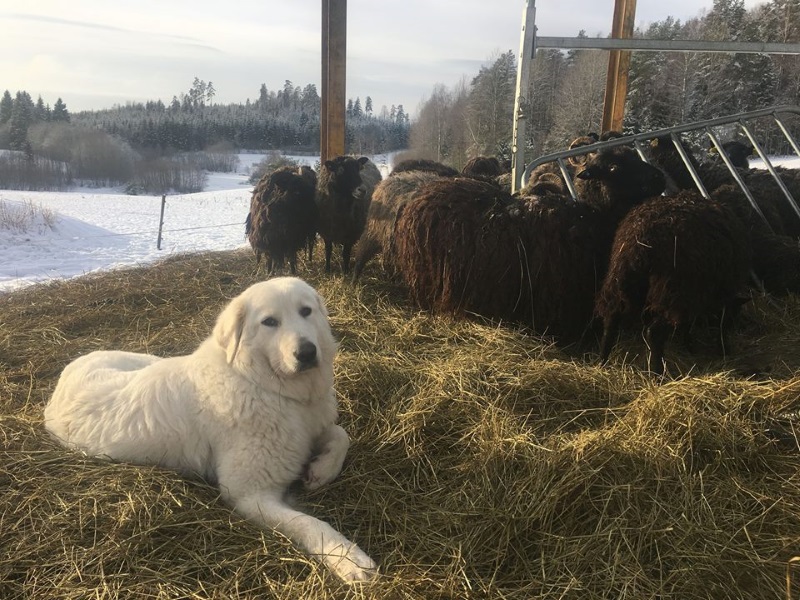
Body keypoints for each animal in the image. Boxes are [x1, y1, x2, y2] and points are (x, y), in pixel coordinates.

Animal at [43, 276, 378, 580]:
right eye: (269, 322)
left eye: (306, 311)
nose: (307, 352)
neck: (263, 384)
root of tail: (63, 377)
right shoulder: (249, 494)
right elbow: (311, 524)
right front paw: (348, 558)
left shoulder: (310, 429)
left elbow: (341, 435)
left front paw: (321, 470)